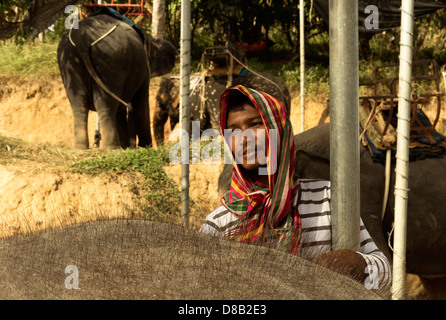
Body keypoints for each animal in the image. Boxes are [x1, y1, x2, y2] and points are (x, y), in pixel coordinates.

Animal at [58, 10, 178, 149]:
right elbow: (140, 103)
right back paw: (111, 148)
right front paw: (144, 147)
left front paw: (127, 146)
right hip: (109, 58)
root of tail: (82, 38)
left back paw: (81, 148)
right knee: (105, 103)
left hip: (69, 60)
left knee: (79, 102)